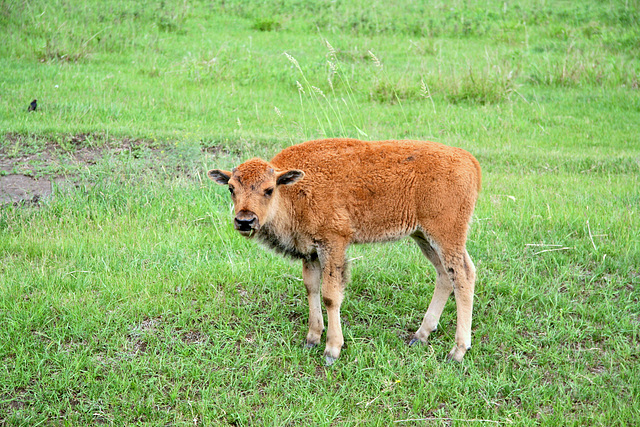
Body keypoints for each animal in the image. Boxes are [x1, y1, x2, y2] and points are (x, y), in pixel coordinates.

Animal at [210, 139, 480, 366]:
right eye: (231, 188)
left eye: (268, 189)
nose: (245, 221)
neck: (293, 190)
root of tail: (470, 161)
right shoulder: (310, 252)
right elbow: (311, 288)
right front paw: (312, 338)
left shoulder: (333, 244)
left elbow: (330, 294)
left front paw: (332, 350)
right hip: (423, 236)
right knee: (444, 275)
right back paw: (421, 335)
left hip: (445, 235)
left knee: (463, 276)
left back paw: (457, 351)